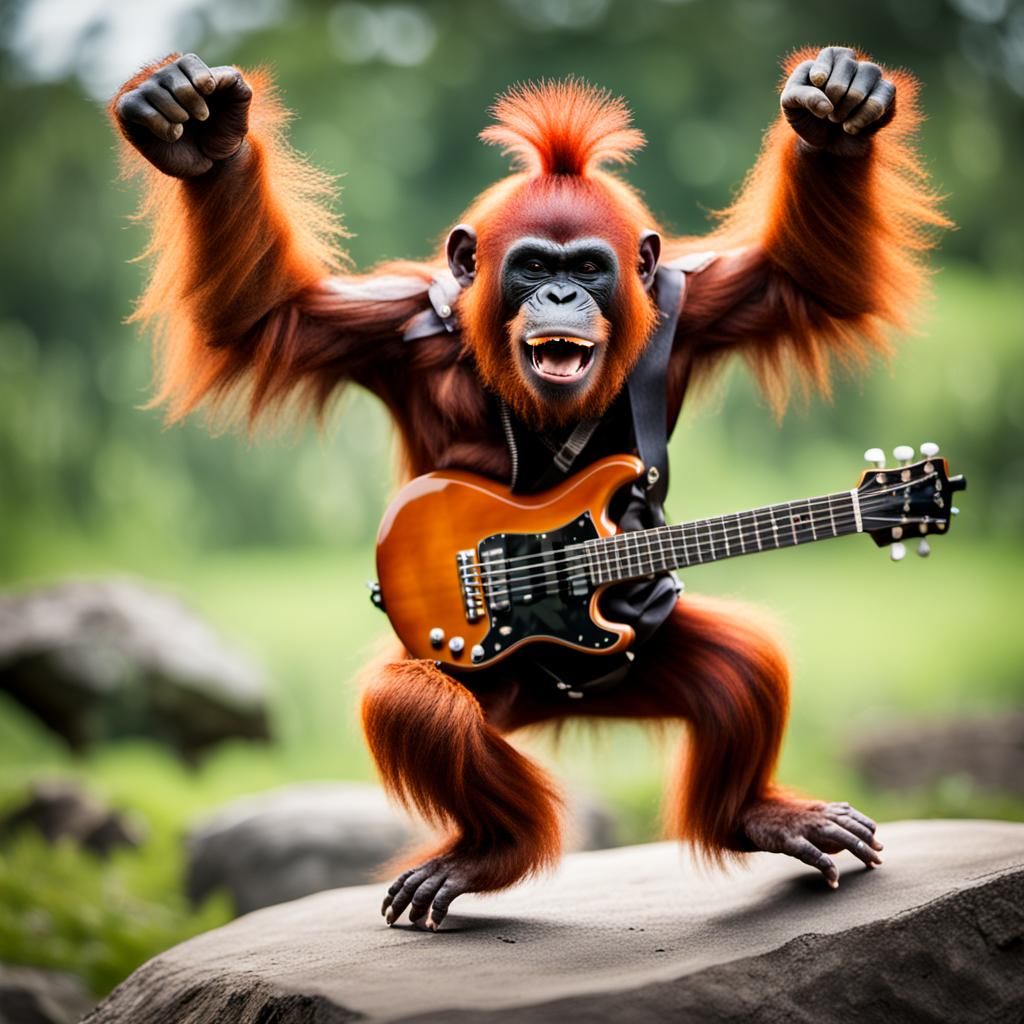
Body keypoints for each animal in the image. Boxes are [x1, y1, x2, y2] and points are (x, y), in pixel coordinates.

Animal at [111, 45, 948, 930]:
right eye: (534, 267)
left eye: (587, 268)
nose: (560, 296)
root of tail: (554, 706)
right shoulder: (390, 321)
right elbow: (267, 317)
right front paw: (199, 134)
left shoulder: (702, 303)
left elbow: (806, 284)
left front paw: (839, 113)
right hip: (482, 674)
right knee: (412, 703)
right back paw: (487, 855)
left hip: (631, 660)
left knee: (741, 665)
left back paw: (757, 817)